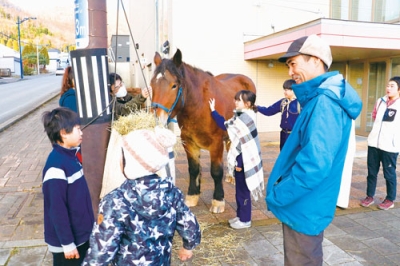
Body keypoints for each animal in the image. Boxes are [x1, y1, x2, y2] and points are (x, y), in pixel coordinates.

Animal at [150, 48, 256, 213]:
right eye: (151, 84)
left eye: (174, 85)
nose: (157, 117)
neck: (200, 105)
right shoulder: (189, 142)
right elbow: (193, 169)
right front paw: (192, 196)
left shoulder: (216, 143)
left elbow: (216, 172)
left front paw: (218, 201)